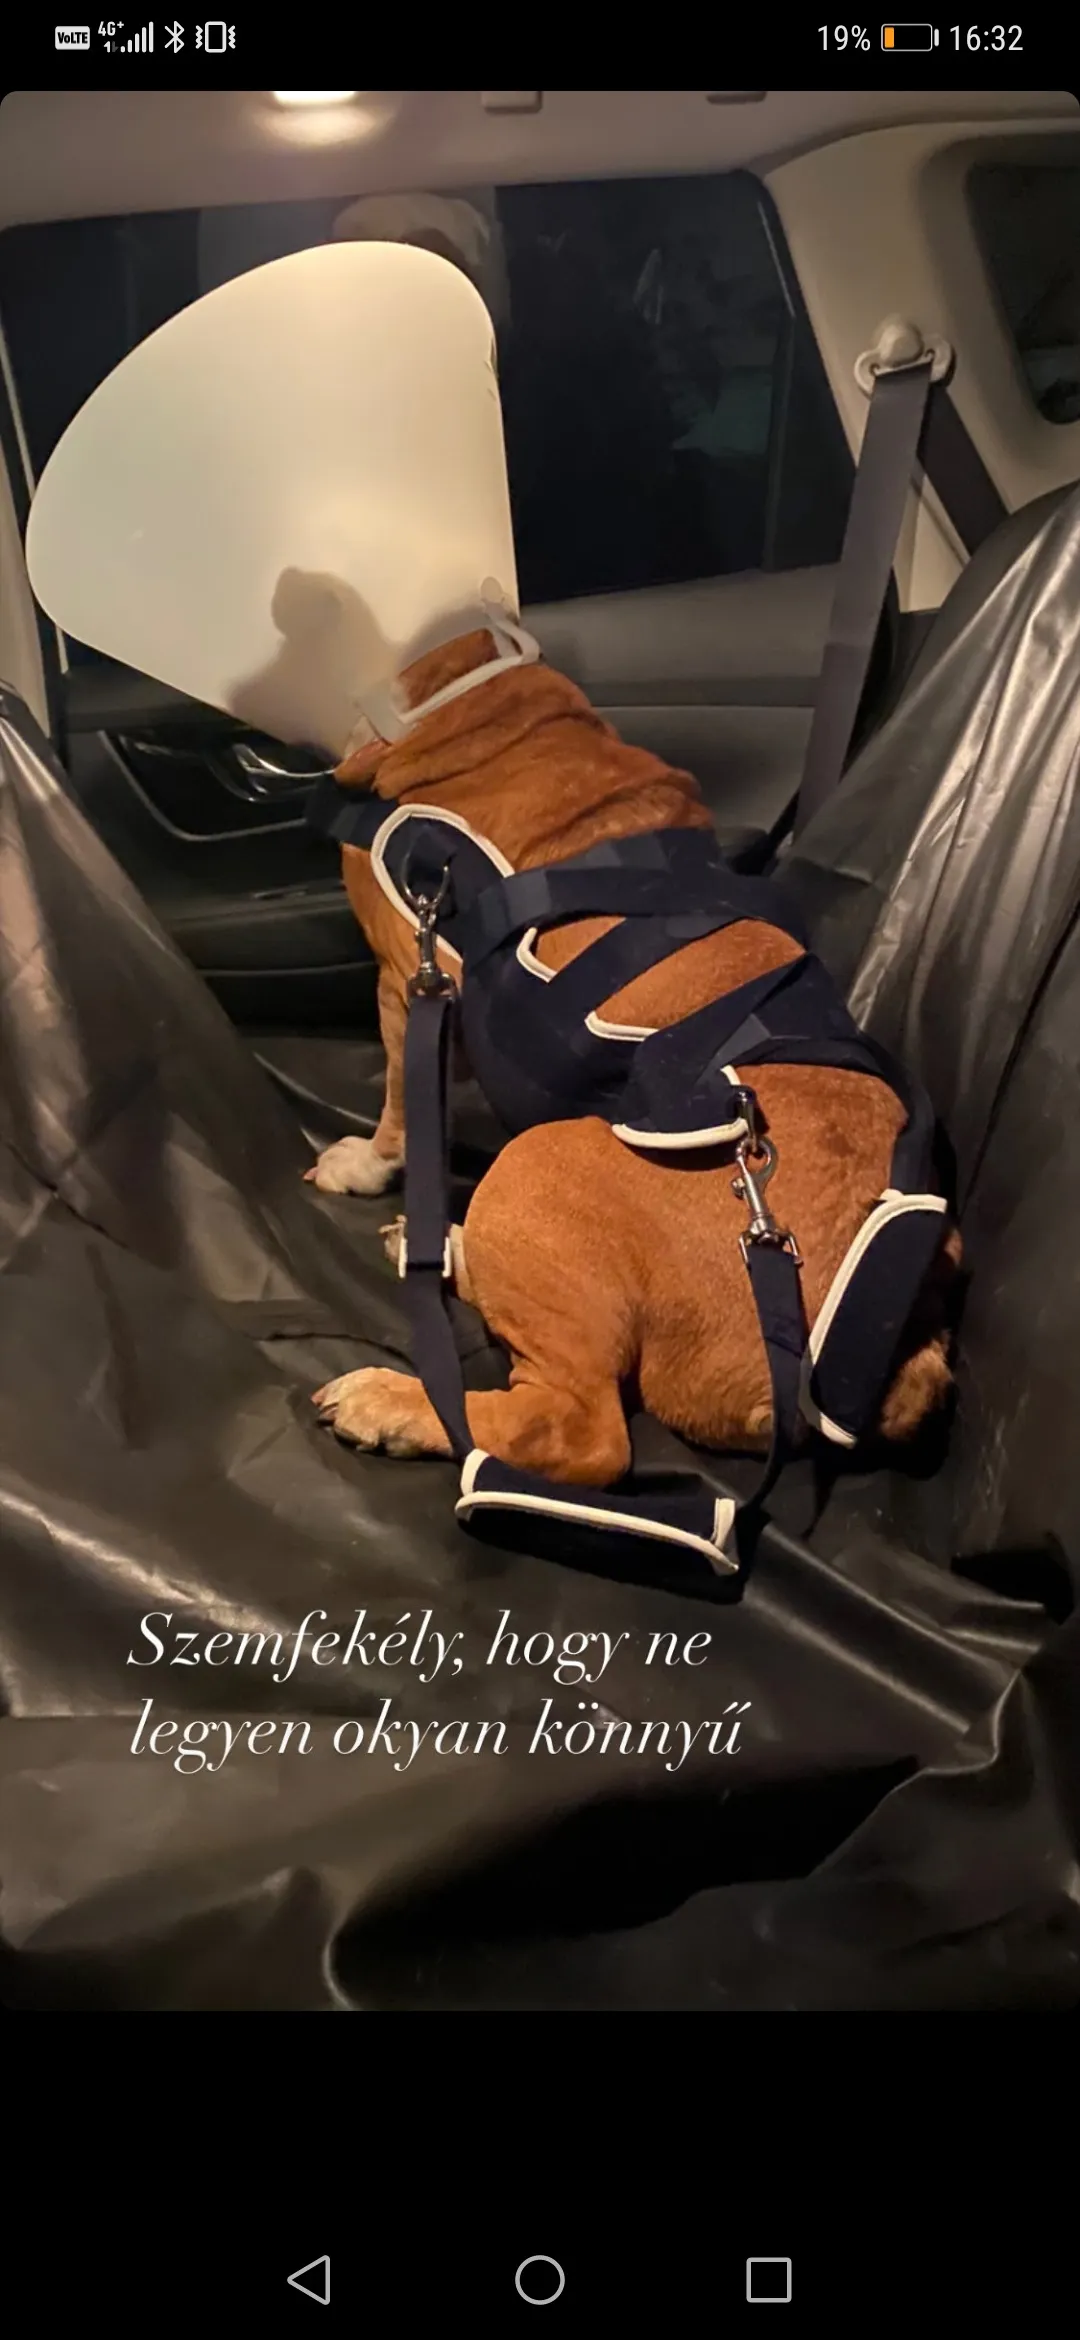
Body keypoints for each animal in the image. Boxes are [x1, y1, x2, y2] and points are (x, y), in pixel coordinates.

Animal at [308, 629, 958, 1485]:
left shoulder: (407, 982)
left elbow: (398, 1110)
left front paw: (363, 1163)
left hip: (537, 1165)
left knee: (575, 1429)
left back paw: (390, 1399)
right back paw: (448, 1248)